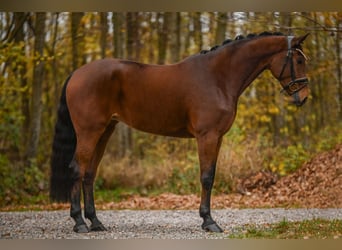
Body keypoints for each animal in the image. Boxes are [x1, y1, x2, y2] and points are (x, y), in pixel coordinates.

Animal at [50, 32, 310, 233]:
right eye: (298, 60)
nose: (304, 97)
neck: (218, 77)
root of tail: (77, 73)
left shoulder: (217, 138)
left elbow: (211, 175)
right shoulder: (207, 136)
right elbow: (206, 177)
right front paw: (209, 221)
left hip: (104, 132)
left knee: (89, 174)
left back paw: (95, 222)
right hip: (89, 132)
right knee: (77, 169)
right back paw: (79, 222)